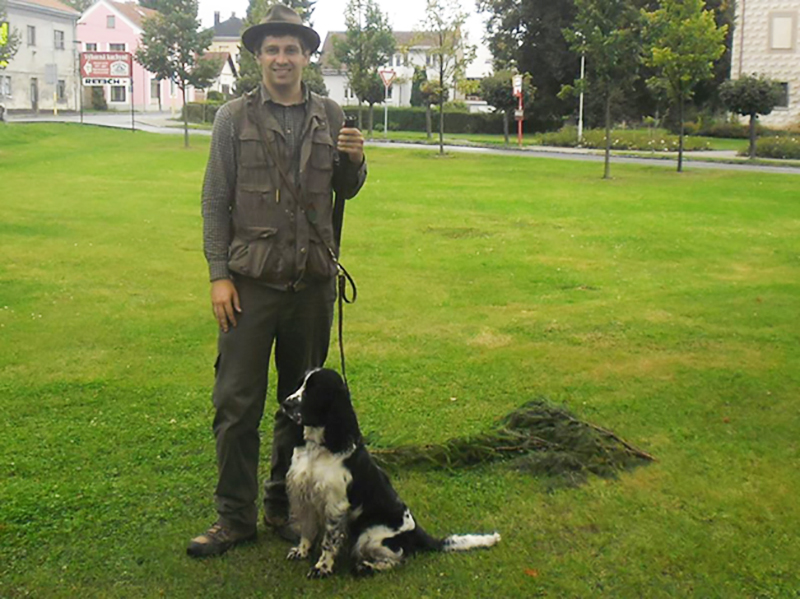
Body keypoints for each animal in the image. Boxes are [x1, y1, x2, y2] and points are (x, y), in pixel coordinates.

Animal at [278, 368, 496, 580]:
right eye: (299, 384)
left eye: (314, 389)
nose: (286, 404)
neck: (319, 448)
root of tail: (416, 531)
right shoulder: (304, 492)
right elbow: (307, 529)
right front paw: (301, 551)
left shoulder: (335, 504)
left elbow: (329, 541)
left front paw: (322, 568)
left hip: (370, 535)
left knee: (399, 558)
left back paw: (365, 567)